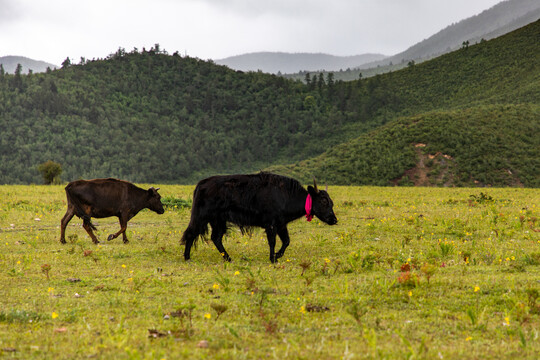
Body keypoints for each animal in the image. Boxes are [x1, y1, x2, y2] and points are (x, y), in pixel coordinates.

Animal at [181, 172, 338, 262]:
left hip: (218, 221)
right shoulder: (271, 224)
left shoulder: (281, 224)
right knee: (191, 233)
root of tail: (201, 184)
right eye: (323, 201)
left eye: (331, 202)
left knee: (216, 238)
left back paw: (228, 258)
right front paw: (273, 258)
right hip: (202, 217)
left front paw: (277, 255)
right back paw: (187, 257)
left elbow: (286, 241)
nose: (334, 220)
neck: (287, 195)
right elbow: (272, 242)